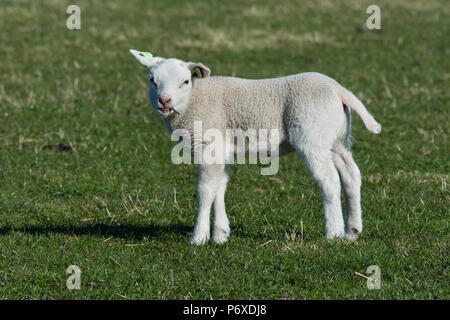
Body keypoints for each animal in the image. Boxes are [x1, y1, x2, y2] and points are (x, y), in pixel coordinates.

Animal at [129, 49, 380, 245]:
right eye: (152, 80)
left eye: (185, 81)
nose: (165, 101)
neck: (195, 99)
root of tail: (338, 90)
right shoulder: (221, 150)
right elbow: (220, 187)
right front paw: (220, 234)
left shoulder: (209, 146)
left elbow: (205, 191)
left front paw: (198, 237)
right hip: (337, 139)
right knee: (351, 176)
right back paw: (352, 231)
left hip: (312, 138)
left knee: (329, 181)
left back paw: (333, 233)